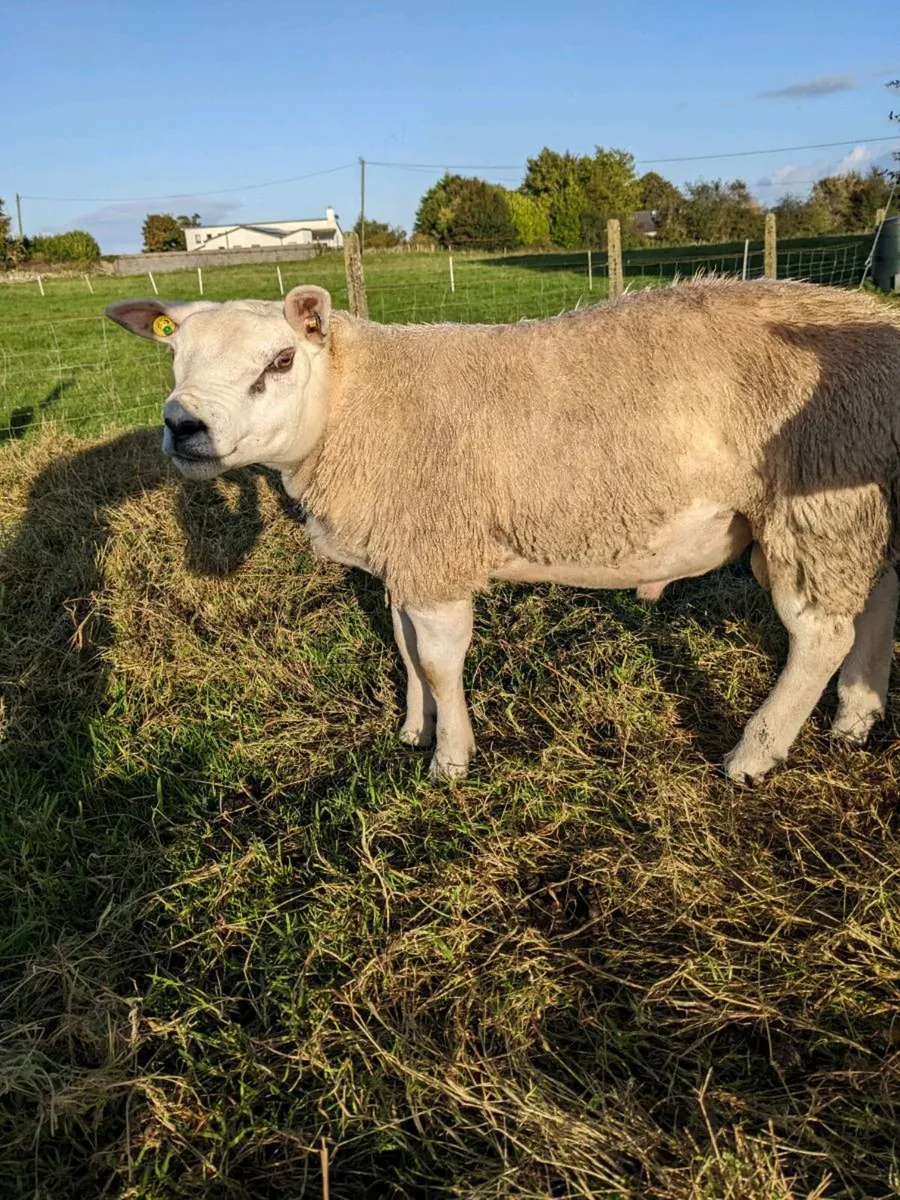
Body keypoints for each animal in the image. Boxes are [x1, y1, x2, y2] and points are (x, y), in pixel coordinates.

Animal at [105, 278, 900, 782]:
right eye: (174, 356)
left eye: (280, 359)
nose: (183, 427)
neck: (352, 404)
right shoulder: (409, 553)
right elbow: (405, 649)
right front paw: (414, 729)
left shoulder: (435, 545)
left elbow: (439, 659)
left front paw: (450, 761)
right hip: (864, 497)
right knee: (879, 598)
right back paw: (856, 717)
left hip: (816, 501)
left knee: (820, 633)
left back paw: (754, 755)